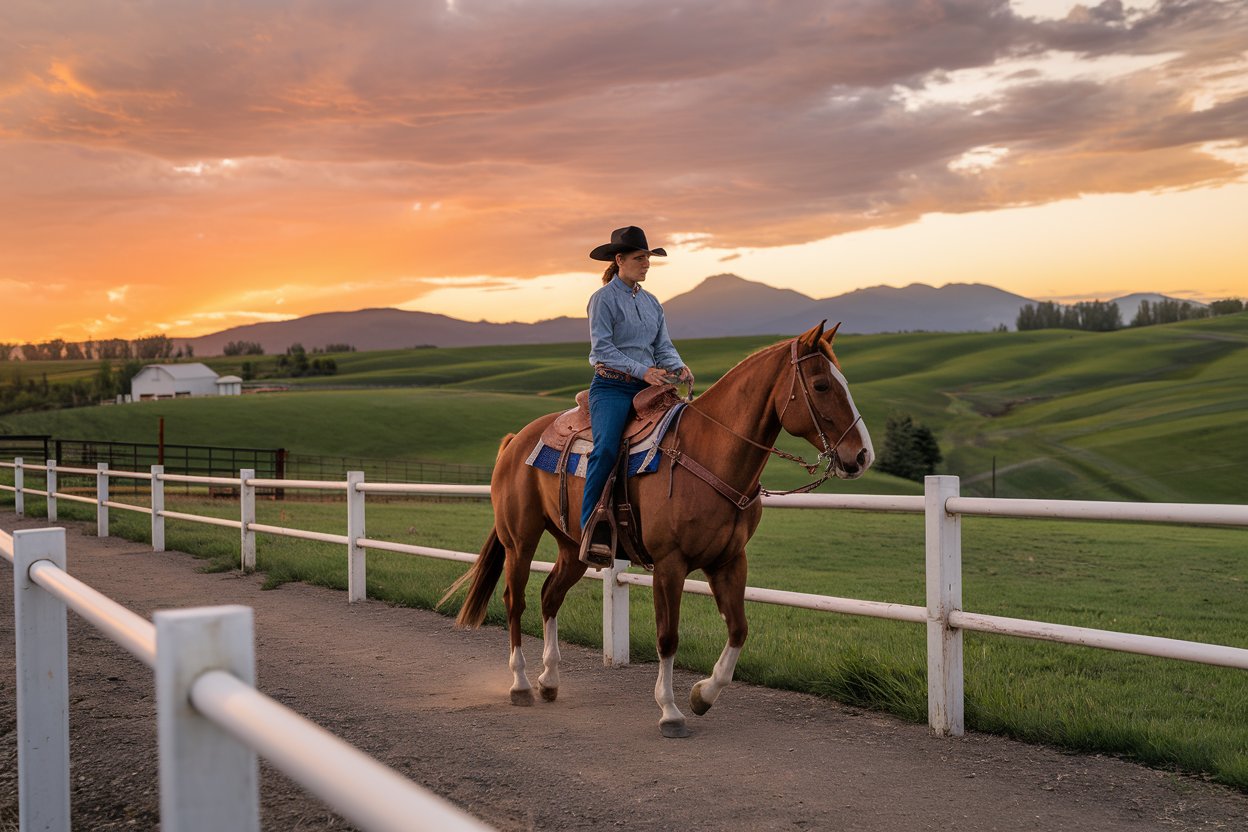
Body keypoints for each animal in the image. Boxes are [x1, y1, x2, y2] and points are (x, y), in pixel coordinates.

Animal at [441, 321, 873, 738]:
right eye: (821, 384)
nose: (862, 455)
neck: (707, 453)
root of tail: (517, 440)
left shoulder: (730, 561)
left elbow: (739, 629)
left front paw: (703, 695)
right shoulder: (670, 564)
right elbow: (668, 637)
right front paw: (670, 711)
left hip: (573, 548)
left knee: (550, 597)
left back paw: (549, 680)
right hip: (520, 540)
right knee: (515, 601)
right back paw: (521, 684)